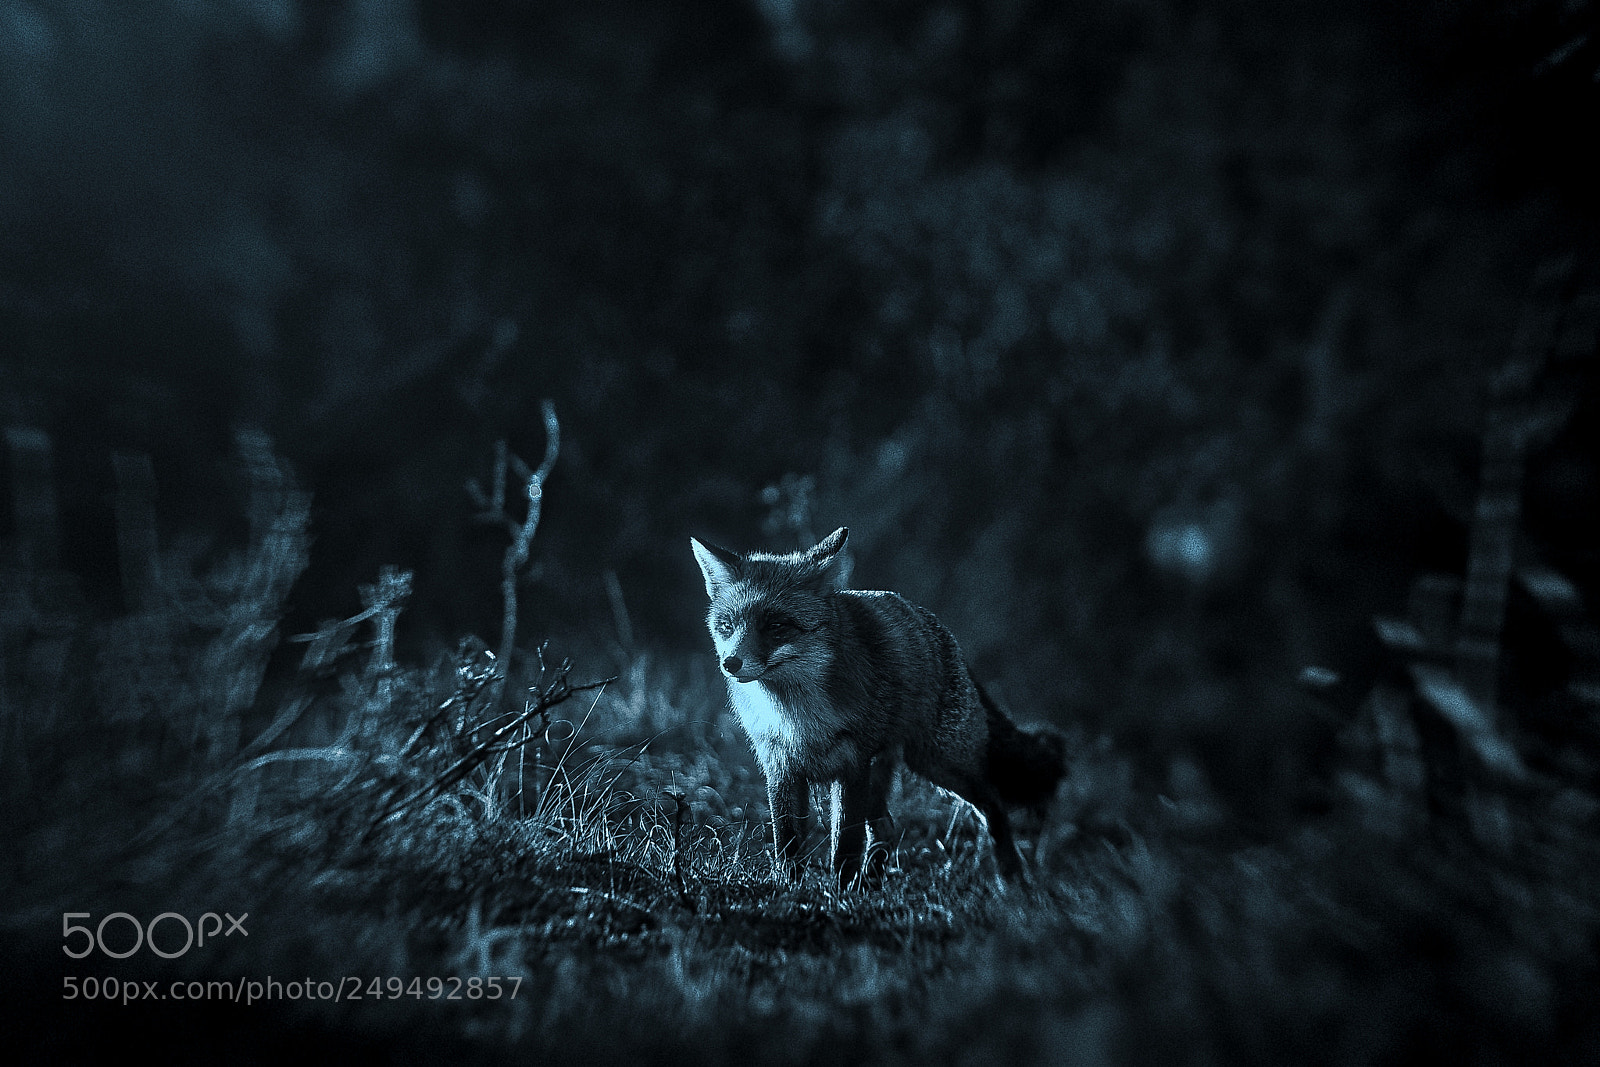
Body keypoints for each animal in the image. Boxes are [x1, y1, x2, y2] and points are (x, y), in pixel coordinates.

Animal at [690, 526, 1065, 887]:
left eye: (777, 627)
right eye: (726, 627)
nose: (730, 663)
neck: (797, 718)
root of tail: (940, 631)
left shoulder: (852, 765)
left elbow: (845, 843)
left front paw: (839, 894)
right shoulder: (781, 768)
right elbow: (787, 843)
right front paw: (787, 887)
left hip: (939, 762)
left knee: (991, 802)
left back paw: (1011, 879)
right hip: (889, 772)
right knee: (886, 826)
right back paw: (871, 882)